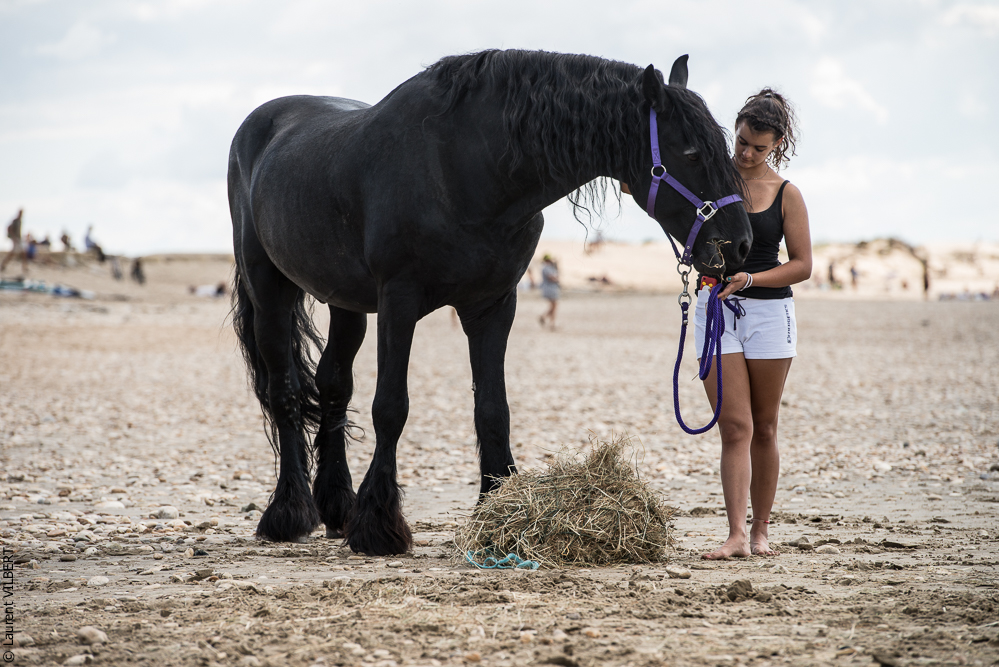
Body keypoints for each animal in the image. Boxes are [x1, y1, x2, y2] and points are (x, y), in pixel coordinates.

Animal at [227, 49, 752, 556]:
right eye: (690, 153)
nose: (742, 244)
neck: (461, 168)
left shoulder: (493, 306)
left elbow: (492, 409)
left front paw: (496, 508)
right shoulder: (398, 301)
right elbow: (391, 407)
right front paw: (378, 527)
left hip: (346, 304)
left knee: (333, 386)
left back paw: (337, 506)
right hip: (270, 291)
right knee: (285, 394)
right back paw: (289, 512)